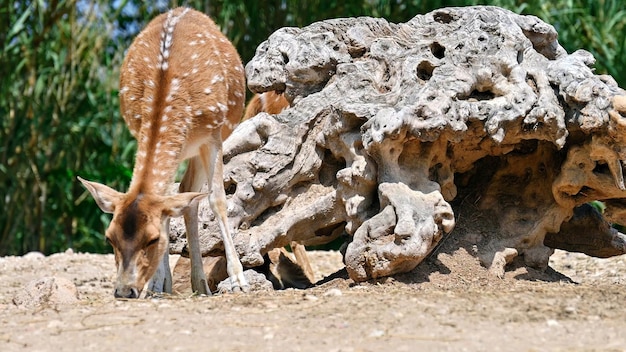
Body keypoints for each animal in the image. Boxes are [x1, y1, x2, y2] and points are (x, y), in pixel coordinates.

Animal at [77, 7, 245, 296]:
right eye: (109, 238)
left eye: (152, 239)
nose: (124, 290)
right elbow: (168, 201)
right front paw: (157, 284)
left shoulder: (212, 137)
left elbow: (218, 201)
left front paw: (239, 280)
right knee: (183, 194)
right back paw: (187, 283)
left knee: (190, 196)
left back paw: (202, 284)